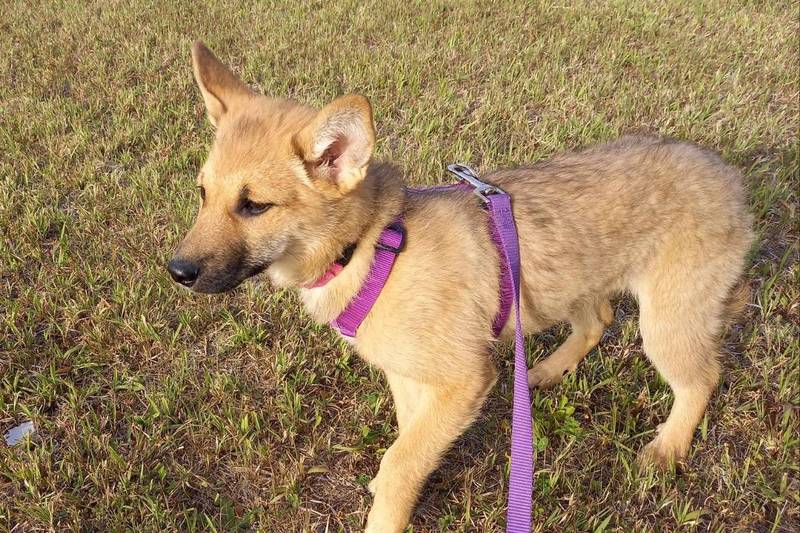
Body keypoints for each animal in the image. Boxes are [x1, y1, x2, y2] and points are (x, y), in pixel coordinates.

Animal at [168, 41, 753, 532]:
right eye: (202, 193)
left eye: (254, 205)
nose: (177, 271)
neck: (370, 248)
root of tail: (731, 180)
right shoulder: (413, 378)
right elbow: (409, 442)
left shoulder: (464, 378)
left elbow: (402, 457)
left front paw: (387, 515)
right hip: (570, 287)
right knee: (598, 322)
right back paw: (548, 370)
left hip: (666, 323)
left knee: (701, 379)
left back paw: (668, 448)